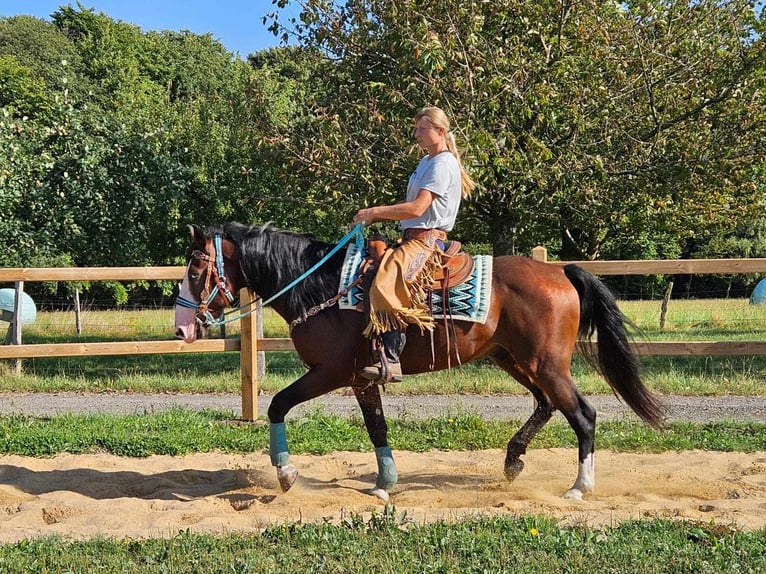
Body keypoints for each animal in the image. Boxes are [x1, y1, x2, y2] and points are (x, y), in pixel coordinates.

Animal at [174, 223, 664, 502]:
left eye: (196, 269)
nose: (181, 328)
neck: (321, 286)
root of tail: (560, 271)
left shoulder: (330, 372)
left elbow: (277, 404)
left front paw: (287, 474)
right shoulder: (361, 378)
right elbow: (377, 427)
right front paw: (384, 483)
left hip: (546, 364)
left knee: (583, 415)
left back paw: (579, 487)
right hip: (514, 359)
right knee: (546, 405)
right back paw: (512, 462)